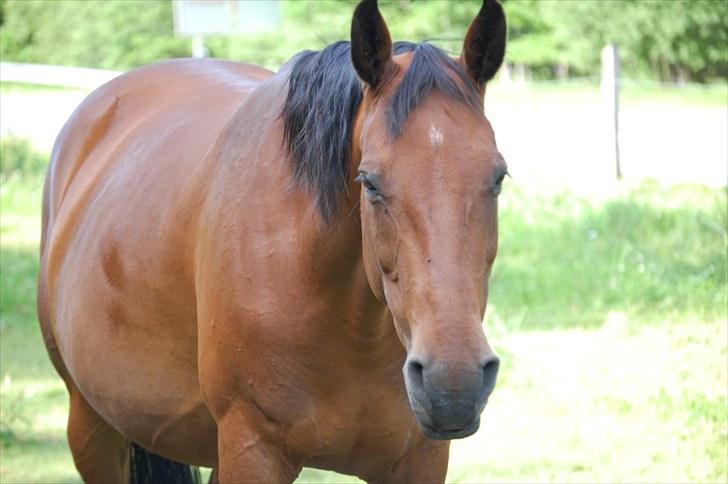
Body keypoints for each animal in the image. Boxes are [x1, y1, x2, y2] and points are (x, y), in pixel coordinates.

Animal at [37, 0, 510, 480]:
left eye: (498, 177)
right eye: (370, 182)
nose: (453, 384)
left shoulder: (420, 458)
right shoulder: (253, 450)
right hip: (92, 427)